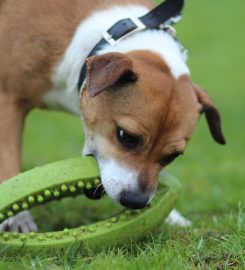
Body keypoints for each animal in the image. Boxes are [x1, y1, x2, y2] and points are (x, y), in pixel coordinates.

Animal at [0, 0, 226, 232]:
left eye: (173, 156)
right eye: (126, 136)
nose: (136, 201)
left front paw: (173, 216)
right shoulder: (7, 100)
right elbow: (9, 164)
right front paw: (17, 217)